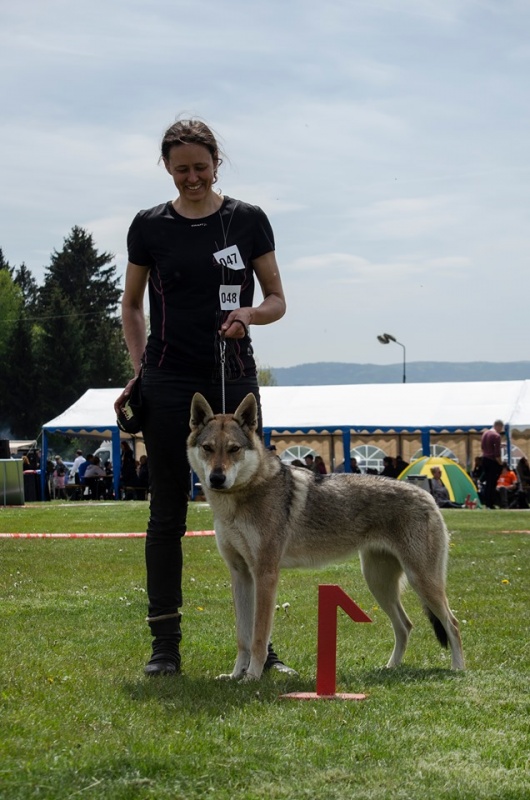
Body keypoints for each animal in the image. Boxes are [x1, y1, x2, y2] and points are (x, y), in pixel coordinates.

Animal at [186, 390, 462, 680]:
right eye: (208, 448)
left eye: (233, 449)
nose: (217, 478)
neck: (236, 502)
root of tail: (428, 496)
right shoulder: (240, 574)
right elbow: (243, 637)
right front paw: (236, 675)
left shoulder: (265, 574)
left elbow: (258, 637)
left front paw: (252, 677)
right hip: (379, 583)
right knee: (405, 626)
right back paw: (390, 668)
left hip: (421, 581)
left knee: (452, 624)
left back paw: (457, 669)